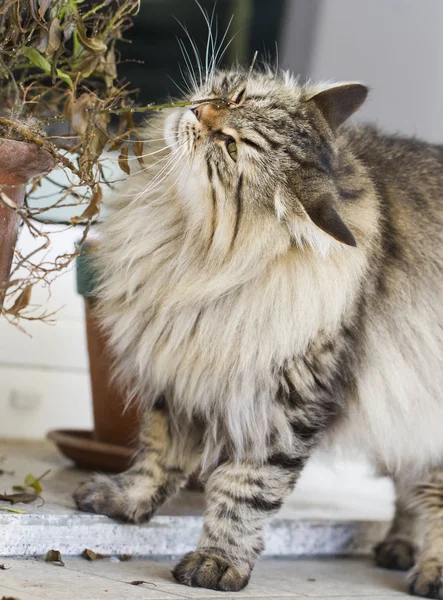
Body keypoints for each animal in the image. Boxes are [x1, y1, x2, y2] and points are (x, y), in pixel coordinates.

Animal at [73, 65, 443, 596]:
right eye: (236, 96)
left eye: (230, 145)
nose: (198, 111)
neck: (191, 251)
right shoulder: (181, 371)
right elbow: (157, 453)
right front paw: (126, 500)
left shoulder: (286, 403)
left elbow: (247, 490)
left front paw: (218, 561)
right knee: (409, 487)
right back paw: (398, 547)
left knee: (430, 494)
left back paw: (430, 570)